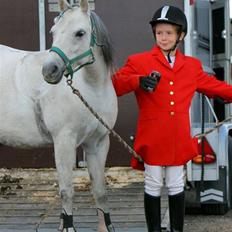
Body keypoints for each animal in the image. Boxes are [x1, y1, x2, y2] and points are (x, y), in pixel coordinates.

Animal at [0, 0, 117, 231]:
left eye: (80, 33)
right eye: (53, 32)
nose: (50, 70)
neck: (91, 89)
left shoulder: (98, 143)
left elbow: (100, 191)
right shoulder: (64, 142)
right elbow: (66, 191)